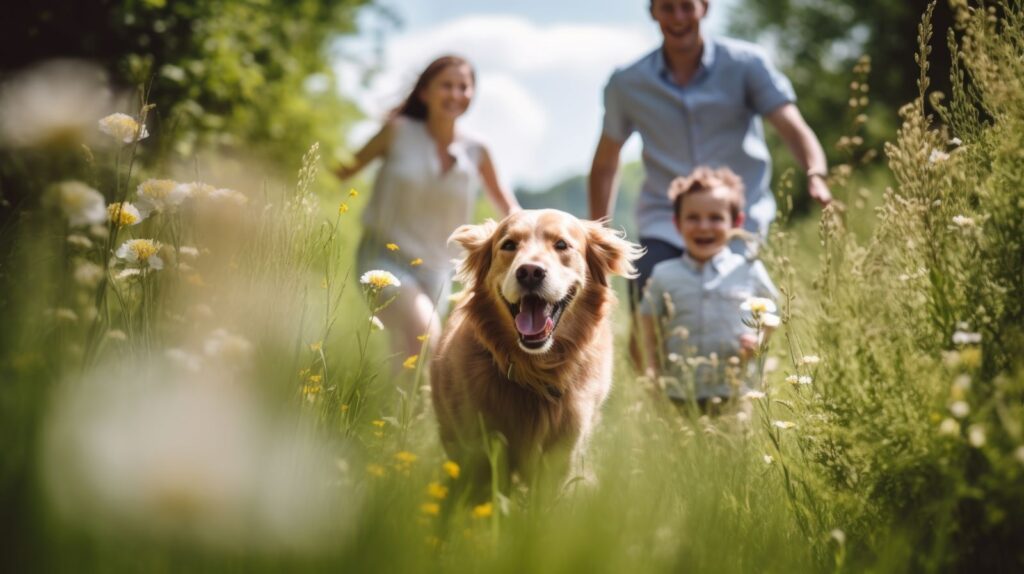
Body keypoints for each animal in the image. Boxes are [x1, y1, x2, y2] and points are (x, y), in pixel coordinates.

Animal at [430, 209, 638, 493]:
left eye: (561, 244)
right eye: (508, 245)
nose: (529, 272)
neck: (535, 371)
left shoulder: (562, 454)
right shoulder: (481, 449)